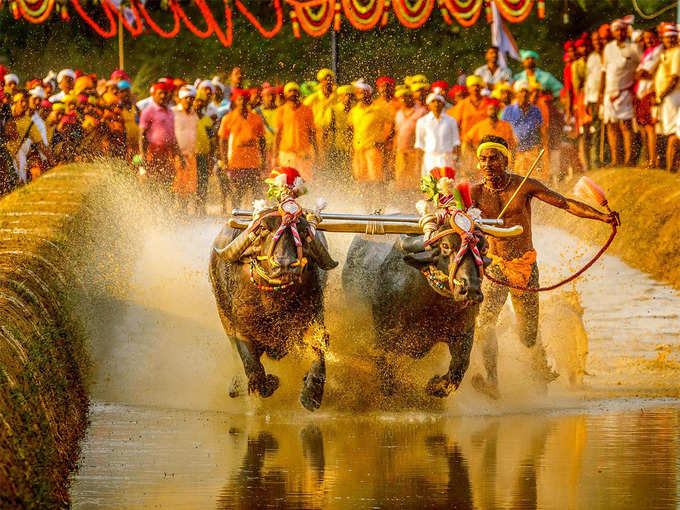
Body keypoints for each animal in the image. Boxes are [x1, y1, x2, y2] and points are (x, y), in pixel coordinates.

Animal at [211, 209, 338, 412]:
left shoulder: (312, 318)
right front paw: (270, 382)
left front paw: (311, 395)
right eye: (263, 228)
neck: (274, 301)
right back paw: (236, 384)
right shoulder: (242, 329)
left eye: (303, 230)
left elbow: (320, 349)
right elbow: (252, 367)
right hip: (223, 314)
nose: (285, 264)